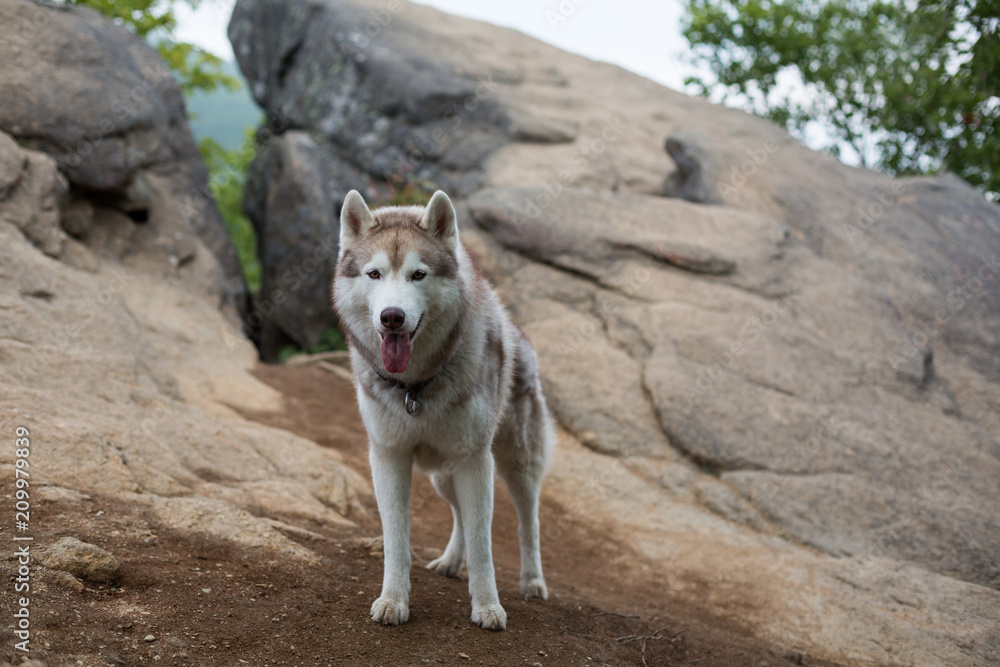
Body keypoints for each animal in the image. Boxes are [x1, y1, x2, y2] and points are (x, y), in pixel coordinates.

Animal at [334, 189, 556, 632]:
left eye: (418, 275)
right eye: (374, 274)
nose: (392, 317)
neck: (415, 388)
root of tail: (518, 332)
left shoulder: (475, 461)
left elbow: (484, 543)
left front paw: (488, 607)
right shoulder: (388, 456)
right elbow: (397, 538)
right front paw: (393, 601)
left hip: (515, 467)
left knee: (528, 522)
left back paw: (532, 581)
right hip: (442, 476)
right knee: (458, 516)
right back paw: (451, 561)